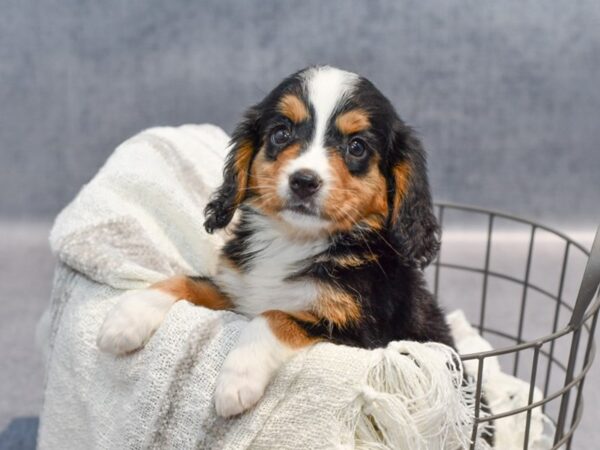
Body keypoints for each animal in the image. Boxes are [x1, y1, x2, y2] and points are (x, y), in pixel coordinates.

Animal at [97, 66, 454, 418]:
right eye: (281, 134)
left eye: (357, 147)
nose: (304, 181)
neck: (294, 240)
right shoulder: (238, 292)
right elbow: (189, 280)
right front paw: (127, 316)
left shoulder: (359, 335)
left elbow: (276, 317)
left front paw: (237, 380)